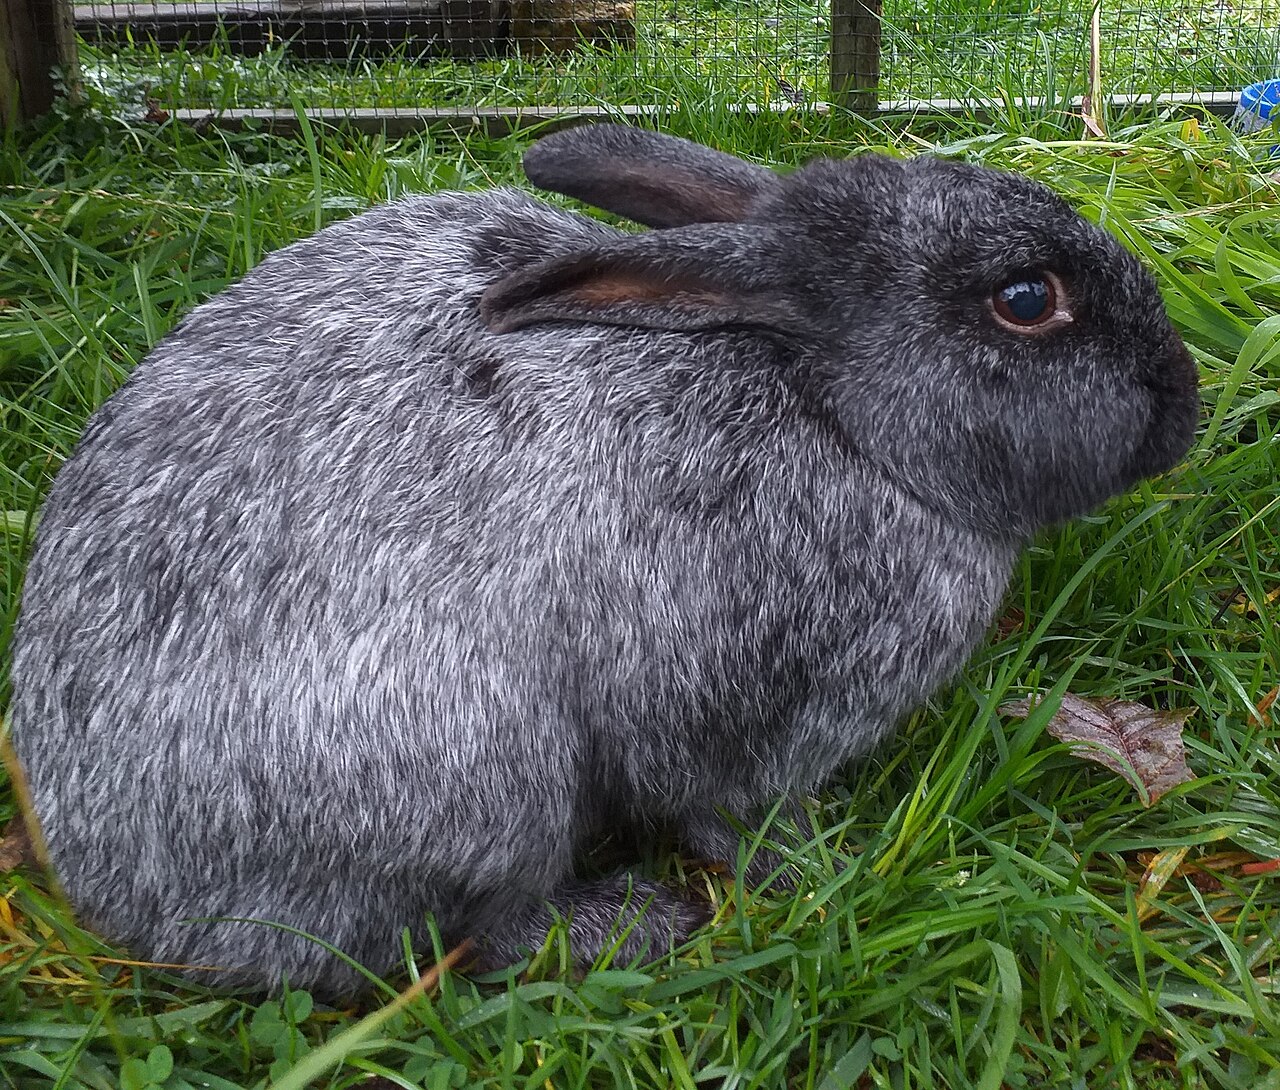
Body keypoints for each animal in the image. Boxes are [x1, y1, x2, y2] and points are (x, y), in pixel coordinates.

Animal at [6, 123, 1199, 998]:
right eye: (1025, 300)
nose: (1181, 412)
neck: (829, 405)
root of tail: (126, 894)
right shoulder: (749, 712)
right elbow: (732, 813)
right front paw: (825, 872)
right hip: (477, 779)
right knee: (447, 939)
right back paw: (631, 923)